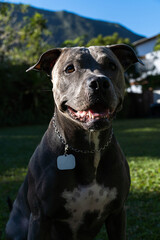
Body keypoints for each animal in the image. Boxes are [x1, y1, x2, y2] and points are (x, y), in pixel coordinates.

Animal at [5, 44, 142, 239]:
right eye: (70, 68)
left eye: (112, 65)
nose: (99, 83)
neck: (90, 148)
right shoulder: (40, 218)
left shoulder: (117, 213)